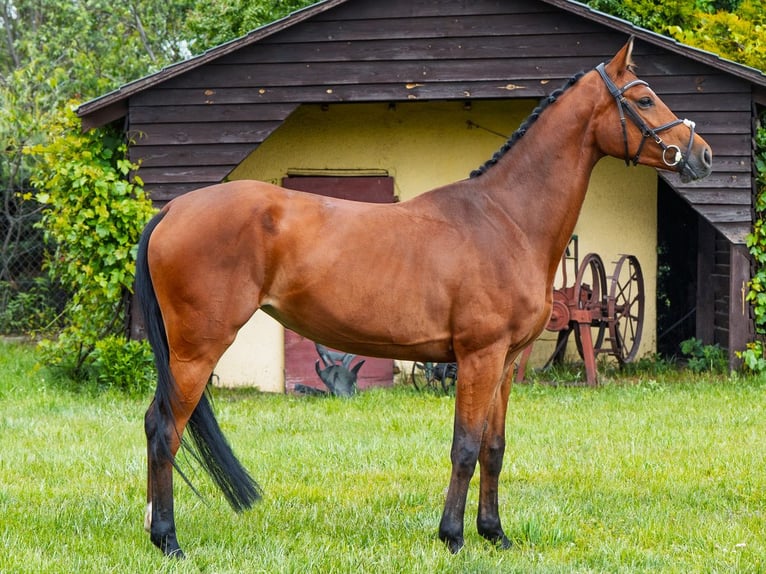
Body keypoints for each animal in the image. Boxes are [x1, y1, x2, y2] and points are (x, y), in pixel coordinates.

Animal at [135, 37, 712, 557]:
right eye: (644, 100)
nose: (702, 154)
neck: (506, 219)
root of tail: (173, 210)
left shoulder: (505, 362)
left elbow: (494, 448)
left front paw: (495, 534)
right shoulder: (478, 358)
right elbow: (465, 447)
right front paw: (453, 537)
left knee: (154, 425)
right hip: (197, 350)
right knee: (165, 431)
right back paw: (168, 541)